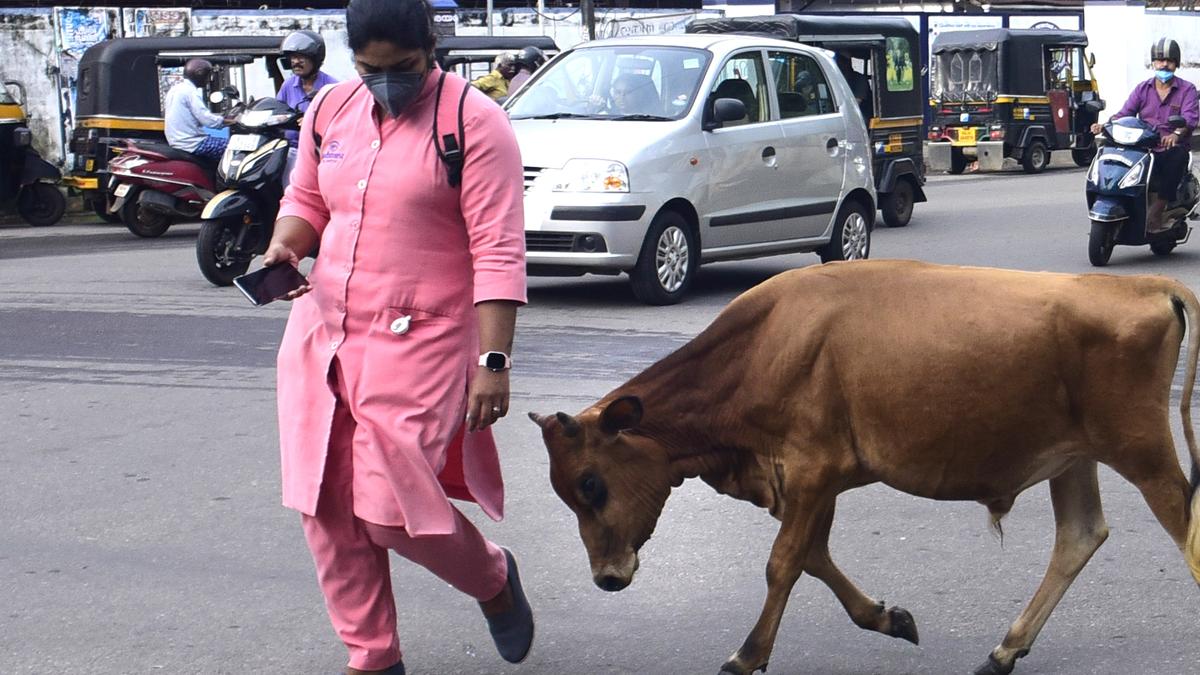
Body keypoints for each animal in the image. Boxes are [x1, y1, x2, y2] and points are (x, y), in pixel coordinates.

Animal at [530, 260, 1200, 675]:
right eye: (565, 492)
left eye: (591, 483)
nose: (606, 578)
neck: (758, 349)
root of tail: (1150, 287)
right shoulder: (814, 480)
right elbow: (814, 558)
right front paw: (888, 618)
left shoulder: (810, 468)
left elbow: (783, 564)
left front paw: (747, 655)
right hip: (1075, 456)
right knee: (1079, 536)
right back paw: (1004, 651)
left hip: (1142, 450)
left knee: (1183, 528)